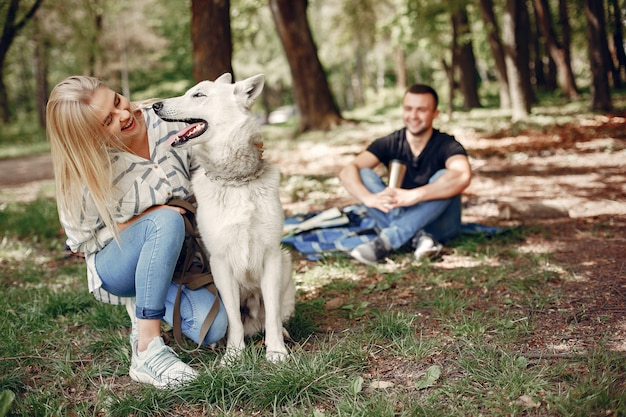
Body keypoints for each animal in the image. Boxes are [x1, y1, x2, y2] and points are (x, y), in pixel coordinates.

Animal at [154, 74, 294, 360]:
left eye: (199, 95)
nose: (155, 105)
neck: (235, 181)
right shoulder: (220, 263)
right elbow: (233, 319)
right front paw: (233, 356)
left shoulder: (271, 256)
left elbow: (272, 313)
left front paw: (276, 352)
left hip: (286, 262)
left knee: (273, 315)